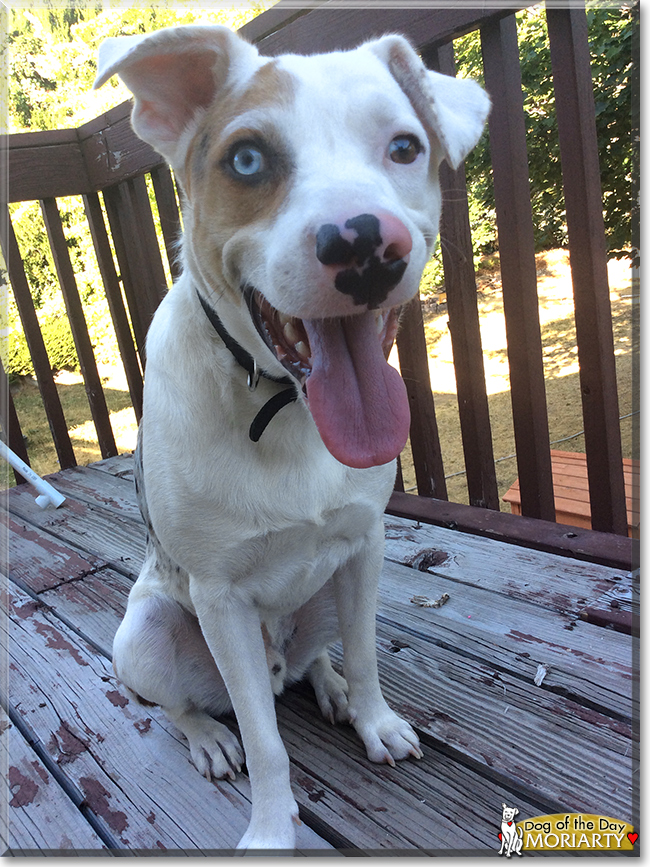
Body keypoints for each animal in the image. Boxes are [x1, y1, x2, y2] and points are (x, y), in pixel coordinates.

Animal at [95, 23, 486, 852]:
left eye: (405, 146)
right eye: (247, 160)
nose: (365, 243)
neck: (285, 407)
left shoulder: (365, 547)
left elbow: (367, 657)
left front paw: (372, 718)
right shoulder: (219, 600)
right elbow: (266, 739)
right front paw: (273, 828)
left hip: (328, 592)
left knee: (313, 661)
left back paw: (329, 688)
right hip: (145, 630)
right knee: (181, 701)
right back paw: (209, 737)